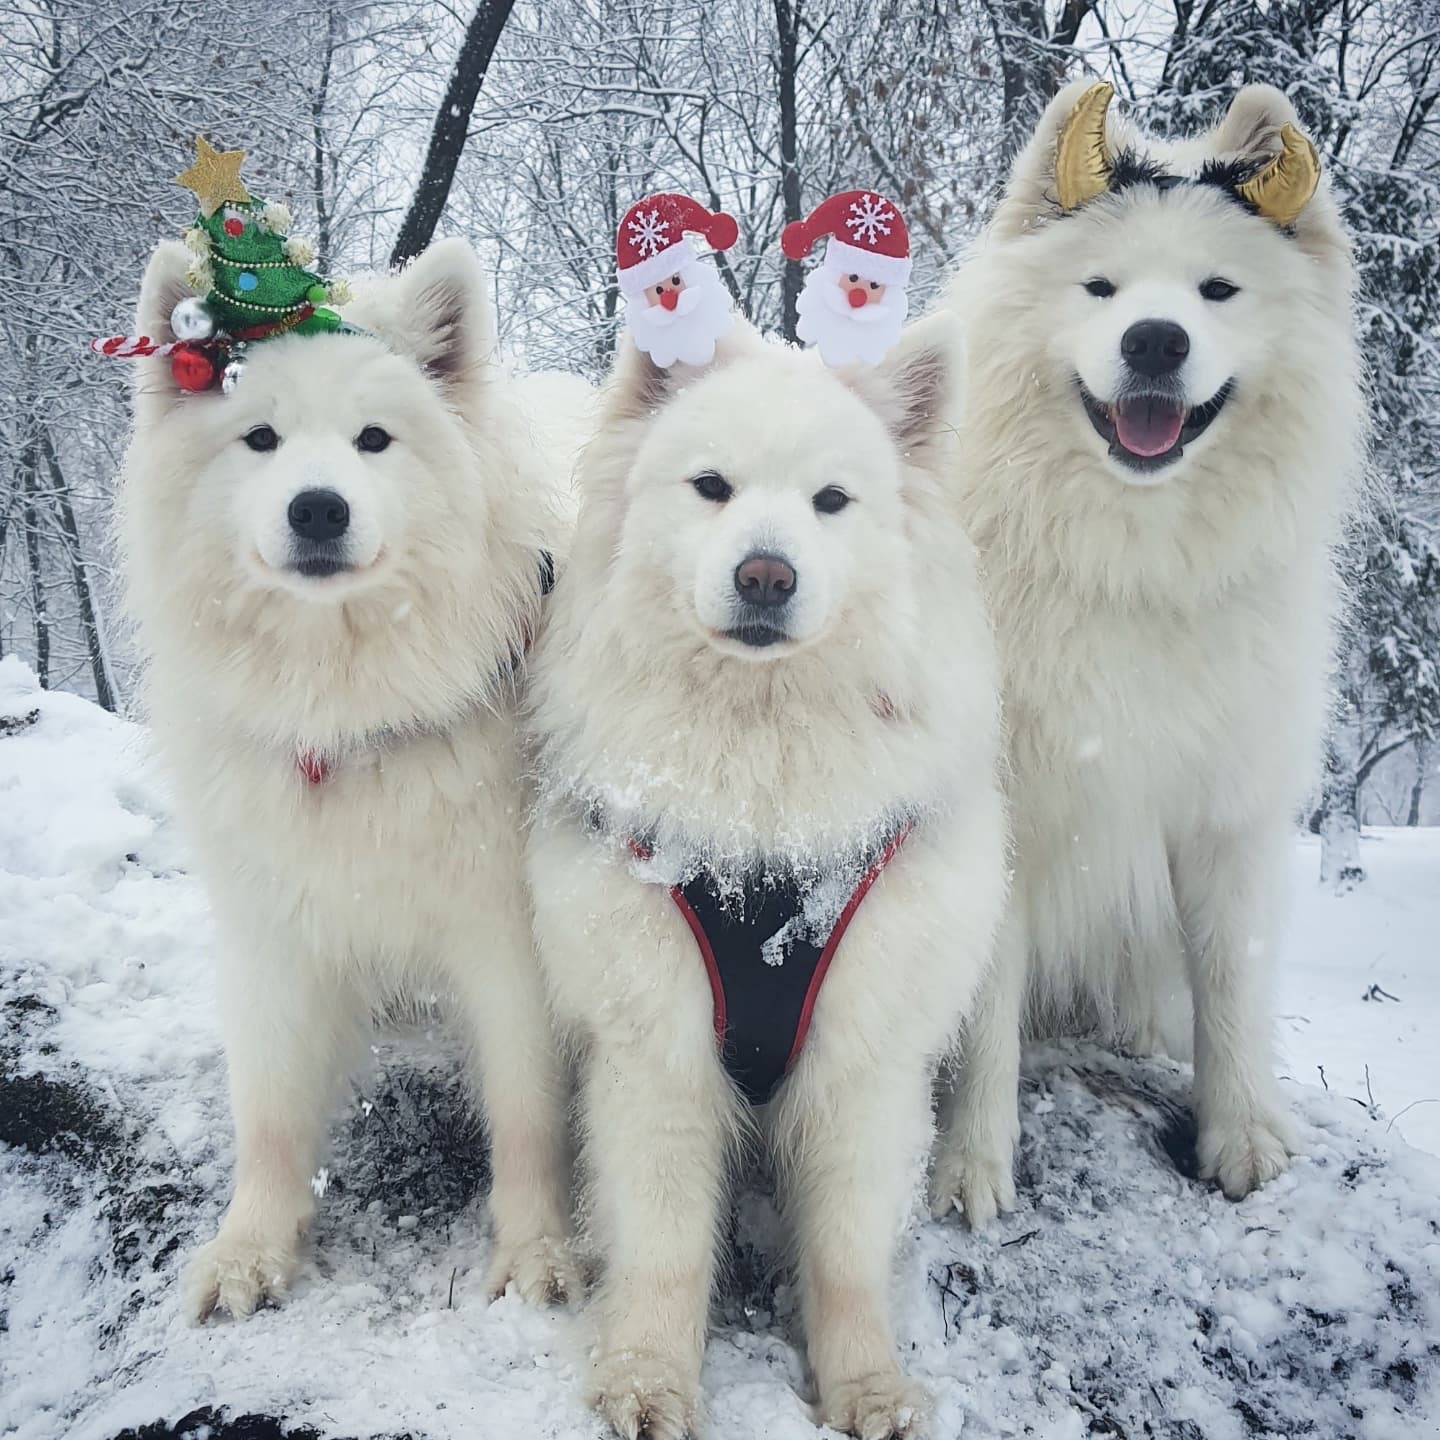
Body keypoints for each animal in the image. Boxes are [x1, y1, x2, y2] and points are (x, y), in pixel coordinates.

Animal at [120, 239, 587, 1324]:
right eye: (258, 439)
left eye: (375, 440)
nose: (319, 508)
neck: (347, 710)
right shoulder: (277, 927)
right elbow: (270, 1113)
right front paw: (249, 1250)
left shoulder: (510, 944)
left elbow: (527, 1114)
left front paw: (535, 1253)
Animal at [524, 194, 1008, 1440]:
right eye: (711, 488)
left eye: (832, 503)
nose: (765, 576)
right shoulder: (656, 1046)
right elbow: (662, 1248)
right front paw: (646, 1383)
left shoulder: (863, 1054)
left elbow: (845, 1255)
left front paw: (868, 1388)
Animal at [927, 81, 1365, 1226]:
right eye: (1101, 288)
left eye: (1217, 291)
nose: (1158, 341)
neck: (1130, 562)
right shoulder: (1006, 813)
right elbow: (984, 1023)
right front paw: (971, 1166)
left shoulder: (1228, 810)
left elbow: (1230, 984)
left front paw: (1242, 1135)